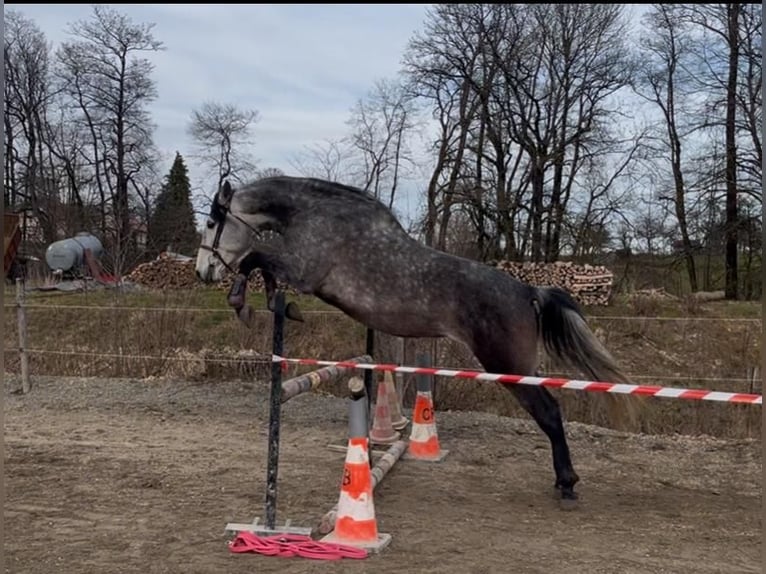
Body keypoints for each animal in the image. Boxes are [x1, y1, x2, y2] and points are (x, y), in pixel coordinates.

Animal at [195, 175, 636, 507]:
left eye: (213, 223)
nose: (202, 272)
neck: (315, 216)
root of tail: (529, 290)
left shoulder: (304, 271)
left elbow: (255, 258)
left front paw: (243, 303)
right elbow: (261, 265)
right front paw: (272, 303)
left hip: (507, 365)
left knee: (549, 412)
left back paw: (567, 484)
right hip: (519, 367)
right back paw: (564, 481)